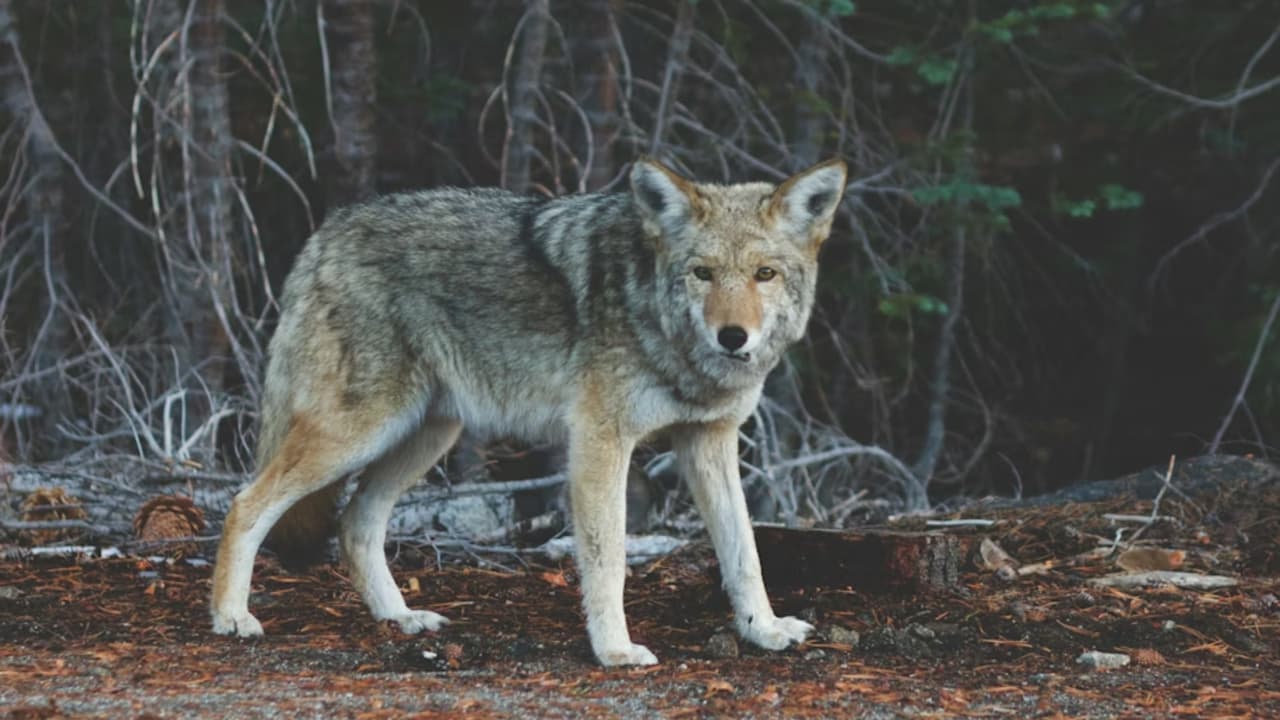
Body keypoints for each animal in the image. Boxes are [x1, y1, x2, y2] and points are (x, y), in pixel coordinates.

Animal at [210, 156, 848, 666]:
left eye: (764, 274)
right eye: (703, 273)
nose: (733, 337)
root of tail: (327, 231)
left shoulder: (709, 442)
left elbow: (745, 553)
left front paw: (764, 630)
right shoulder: (599, 442)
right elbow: (609, 559)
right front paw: (615, 651)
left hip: (425, 436)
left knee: (355, 524)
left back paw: (401, 618)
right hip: (359, 432)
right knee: (246, 503)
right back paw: (231, 617)